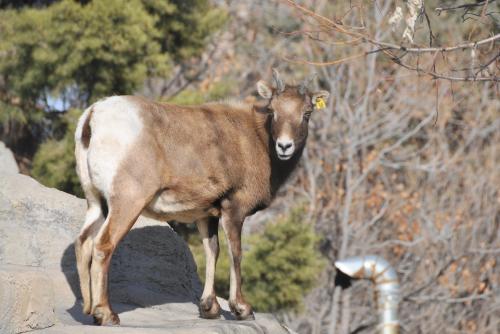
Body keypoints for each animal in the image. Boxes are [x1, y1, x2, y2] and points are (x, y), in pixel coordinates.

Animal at [73, 69, 328, 324]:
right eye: (273, 110)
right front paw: (242, 309)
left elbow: (212, 252)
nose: (284, 146)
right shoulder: (234, 210)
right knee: (103, 245)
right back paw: (106, 315)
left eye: (306, 112)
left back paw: (88, 310)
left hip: (96, 203)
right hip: (127, 203)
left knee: (83, 242)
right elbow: (235, 254)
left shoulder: (207, 216)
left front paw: (210, 309)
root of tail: (93, 116)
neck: (257, 141)